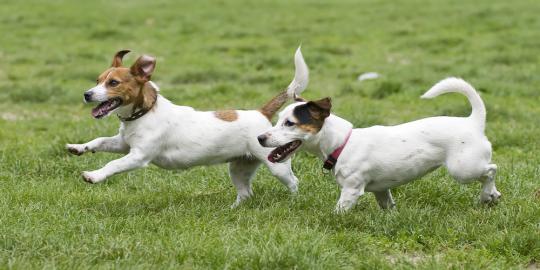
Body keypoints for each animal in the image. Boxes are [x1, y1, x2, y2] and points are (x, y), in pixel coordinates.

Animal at [65, 48, 308, 207]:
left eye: (113, 83)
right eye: (97, 80)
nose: (87, 94)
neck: (145, 113)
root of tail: (261, 112)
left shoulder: (138, 156)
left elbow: (113, 164)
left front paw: (94, 175)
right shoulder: (123, 144)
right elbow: (99, 141)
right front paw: (79, 147)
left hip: (276, 165)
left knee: (294, 182)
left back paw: (293, 202)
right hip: (239, 168)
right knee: (246, 193)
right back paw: (234, 209)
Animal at [258, 75, 502, 212]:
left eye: (290, 123)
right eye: (278, 119)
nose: (260, 138)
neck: (343, 143)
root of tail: (474, 121)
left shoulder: (351, 190)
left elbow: (338, 211)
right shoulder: (382, 191)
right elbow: (388, 206)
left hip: (463, 169)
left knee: (491, 169)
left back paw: (486, 194)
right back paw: (492, 196)